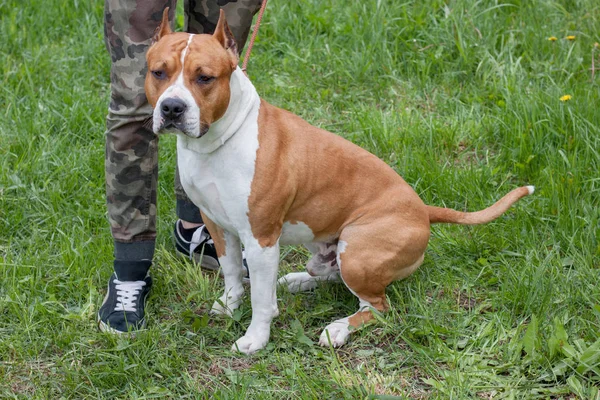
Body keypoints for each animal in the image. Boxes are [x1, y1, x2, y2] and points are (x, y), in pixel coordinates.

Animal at [146, 9, 536, 354]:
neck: (217, 142)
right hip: (328, 248)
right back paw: (298, 280)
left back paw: (337, 329)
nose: (172, 108)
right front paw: (229, 306)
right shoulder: (218, 226)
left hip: (358, 251)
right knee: (330, 275)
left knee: (377, 306)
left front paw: (256, 338)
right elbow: (230, 274)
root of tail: (423, 210)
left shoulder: (260, 239)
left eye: (205, 78)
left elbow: (261, 300)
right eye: (158, 72)